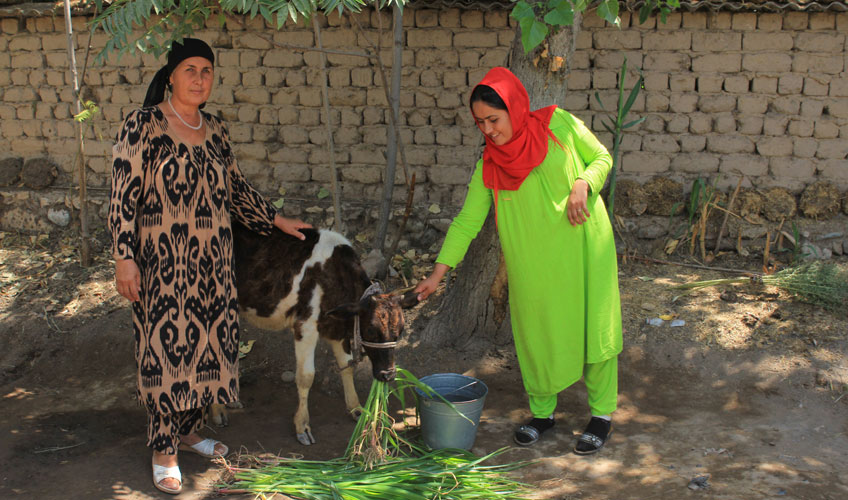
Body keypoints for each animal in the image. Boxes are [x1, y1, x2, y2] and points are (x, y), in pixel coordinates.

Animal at [219, 223, 418, 446]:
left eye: (400, 331)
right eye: (370, 330)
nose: (388, 375)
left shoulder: (338, 330)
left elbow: (347, 367)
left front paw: (356, 409)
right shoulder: (305, 327)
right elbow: (306, 376)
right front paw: (302, 426)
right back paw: (217, 411)